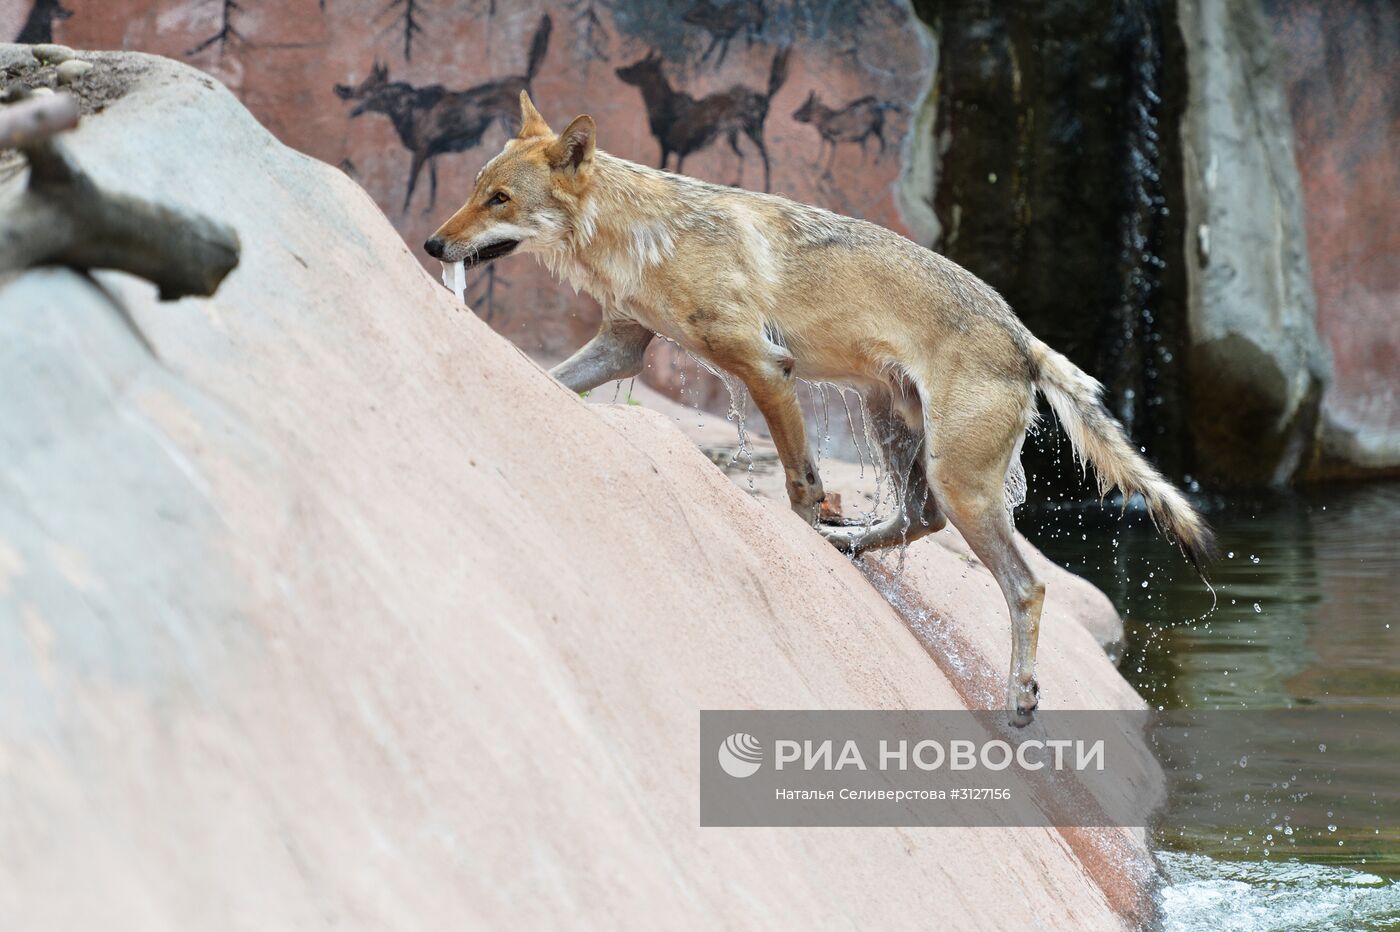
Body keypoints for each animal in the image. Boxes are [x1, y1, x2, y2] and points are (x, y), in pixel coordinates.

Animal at [420, 94, 1209, 722]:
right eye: (475, 189)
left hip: (958, 481)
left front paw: (805, 532)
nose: (431, 243)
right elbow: (552, 378)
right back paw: (848, 543)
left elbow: (801, 484)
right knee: (916, 520)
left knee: (1026, 584)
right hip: (898, 433)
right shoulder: (622, 348)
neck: (644, 236)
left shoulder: (767, 368)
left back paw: (1019, 697)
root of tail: (1021, 333)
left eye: (500, 200)